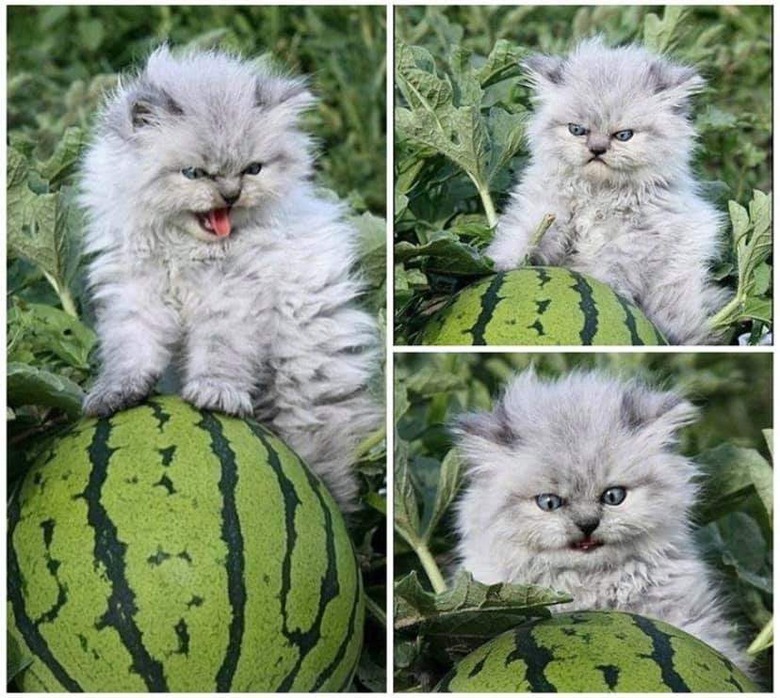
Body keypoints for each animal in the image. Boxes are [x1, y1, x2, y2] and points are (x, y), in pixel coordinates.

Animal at [79, 46, 380, 508]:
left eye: (252, 169)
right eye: (194, 173)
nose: (231, 194)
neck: (186, 252)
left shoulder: (233, 301)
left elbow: (221, 353)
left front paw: (215, 394)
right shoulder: (136, 295)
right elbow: (131, 351)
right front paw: (116, 393)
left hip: (306, 390)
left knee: (330, 468)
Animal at [488, 38, 732, 342]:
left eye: (623, 135)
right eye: (577, 130)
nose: (597, 149)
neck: (597, 194)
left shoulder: (634, 243)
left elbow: (608, 271)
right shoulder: (545, 211)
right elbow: (520, 236)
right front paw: (502, 262)